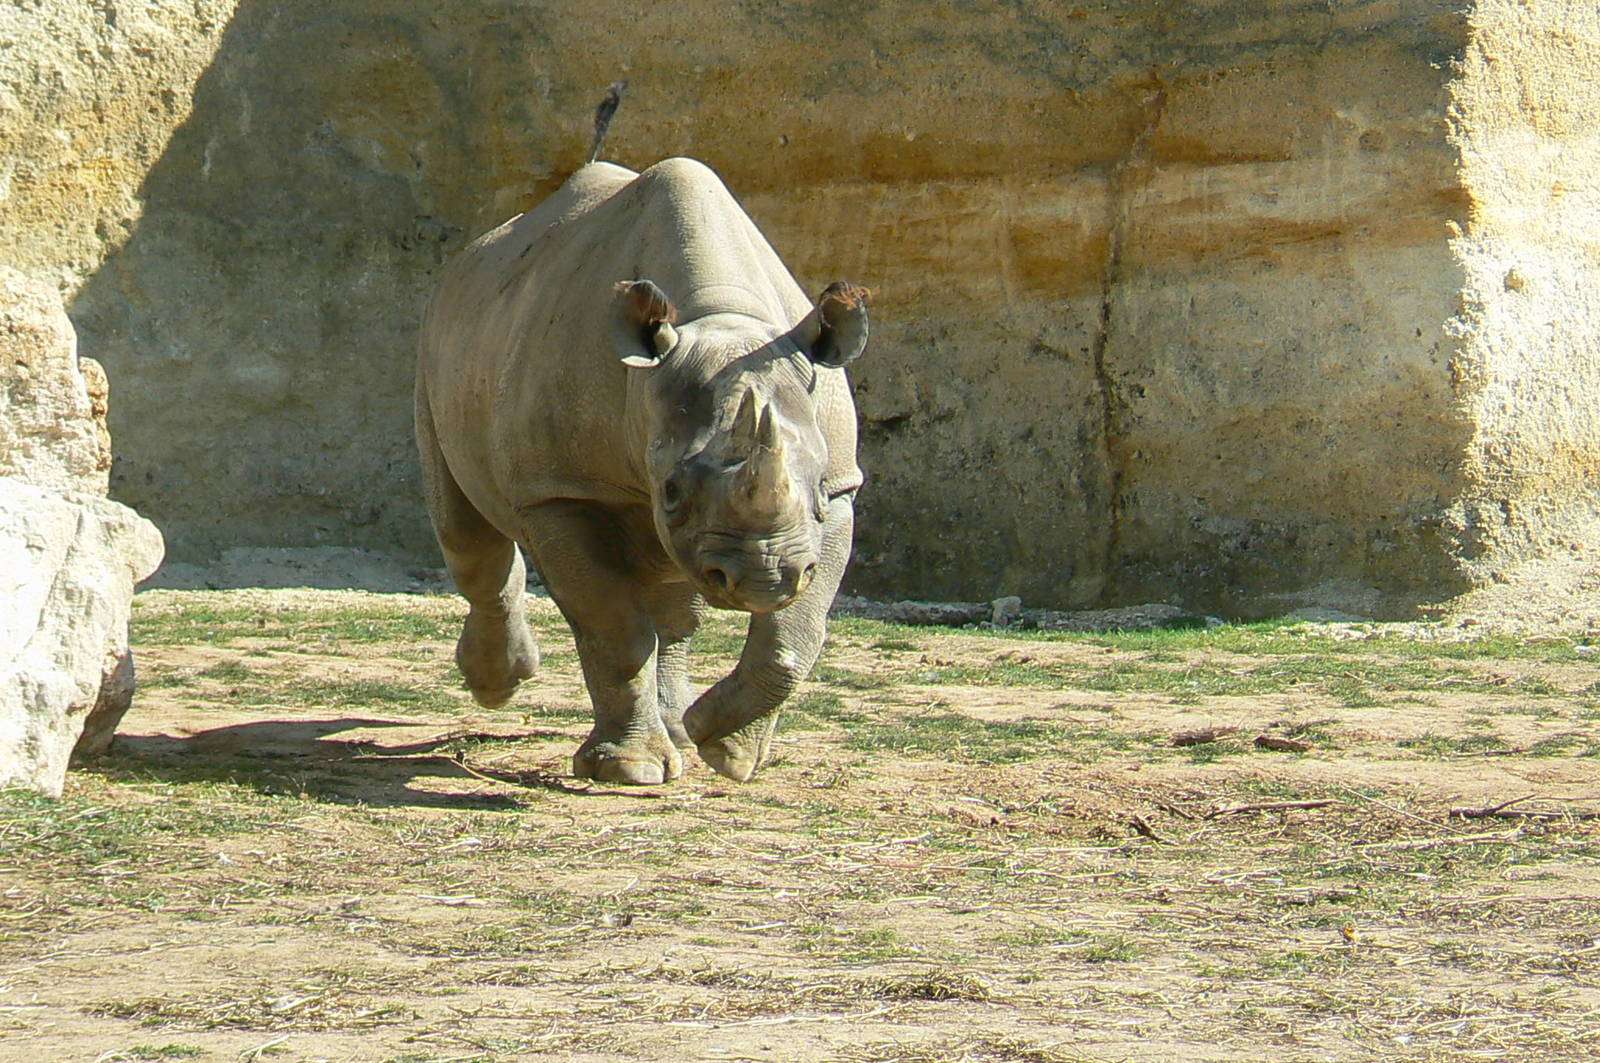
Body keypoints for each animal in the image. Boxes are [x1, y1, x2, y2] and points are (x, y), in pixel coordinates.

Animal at [414, 94, 867, 785]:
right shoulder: (561, 491)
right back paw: (499, 685)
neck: (719, 317)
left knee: (673, 596)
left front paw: (728, 752)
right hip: (437, 339)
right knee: (468, 536)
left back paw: (681, 732)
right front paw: (628, 773)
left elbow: (795, 634)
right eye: (673, 490)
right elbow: (612, 622)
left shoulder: (838, 488)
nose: (762, 577)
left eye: (815, 487)